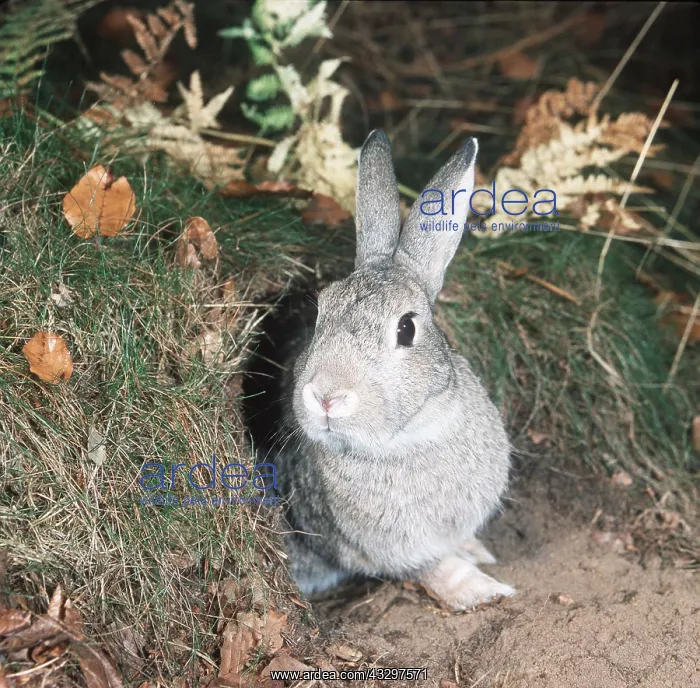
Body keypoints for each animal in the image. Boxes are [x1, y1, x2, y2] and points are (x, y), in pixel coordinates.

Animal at [272, 130, 514, 611]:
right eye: (320, 314)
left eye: (406, 328)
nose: (326, 396)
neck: (408, 440)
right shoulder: (388, 549)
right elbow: (436, 569)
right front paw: (484, 589)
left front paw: (478, 552)